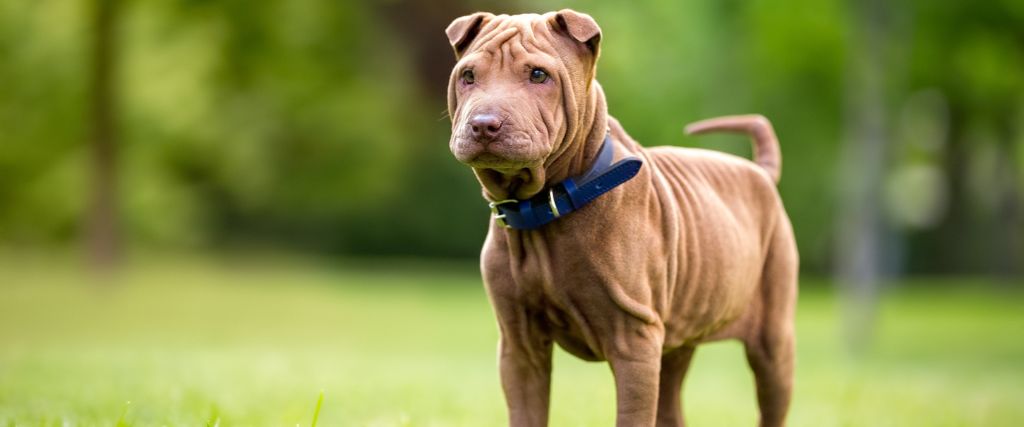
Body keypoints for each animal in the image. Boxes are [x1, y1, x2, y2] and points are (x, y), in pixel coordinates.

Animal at [448, 9, 798, 425]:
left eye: (538, 75)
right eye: (468, 76)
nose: (484, 124)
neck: (543, 207)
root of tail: (760, 172)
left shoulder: (634, 342)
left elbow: (631, 415)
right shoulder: (520, 347)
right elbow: (526, 414)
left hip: (773, 341)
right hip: (676, 341)